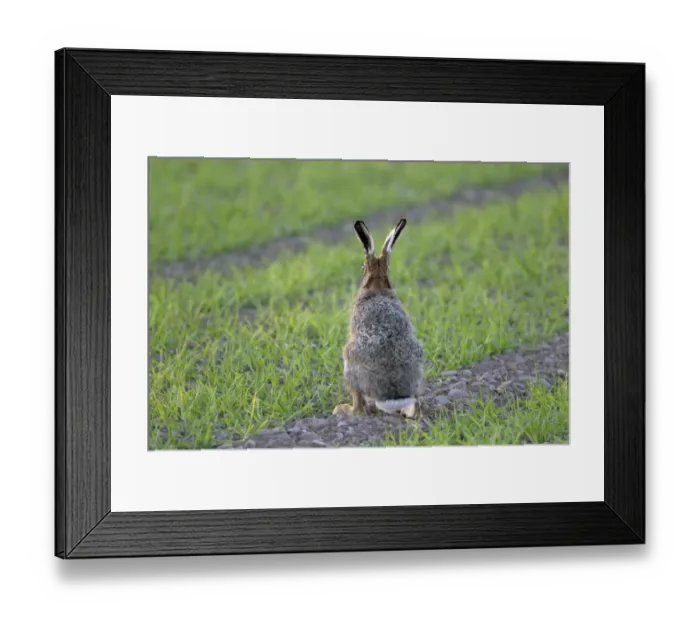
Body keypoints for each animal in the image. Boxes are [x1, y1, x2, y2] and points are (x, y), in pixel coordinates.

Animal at [332, 218, 425, 419]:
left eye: (362, 267)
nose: (361, 269)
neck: (377, 285)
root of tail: (392, 396)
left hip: (349, 361)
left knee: (358, 407)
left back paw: (343, 409)